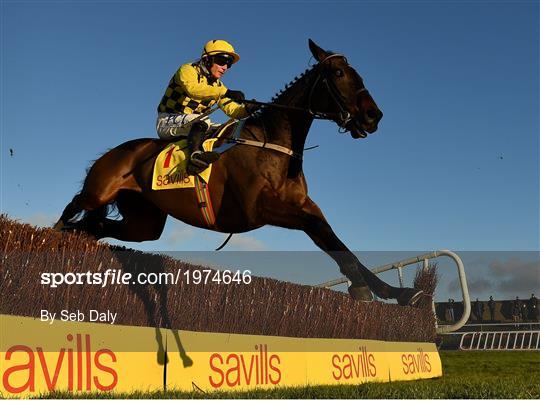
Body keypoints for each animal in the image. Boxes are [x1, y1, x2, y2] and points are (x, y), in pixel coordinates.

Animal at [53, 39, 422, 304]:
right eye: (339, 75)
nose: (373, 116)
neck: (273, 142)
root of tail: (117, 150)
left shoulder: (303, 206)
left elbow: (336, 240)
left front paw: (398, 292)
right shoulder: (260, 209)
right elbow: (324, 233)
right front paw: (361, 287)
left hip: (144, 221)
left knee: (97, 226)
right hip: (100, 191)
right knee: (75, 207)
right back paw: (53, 234)